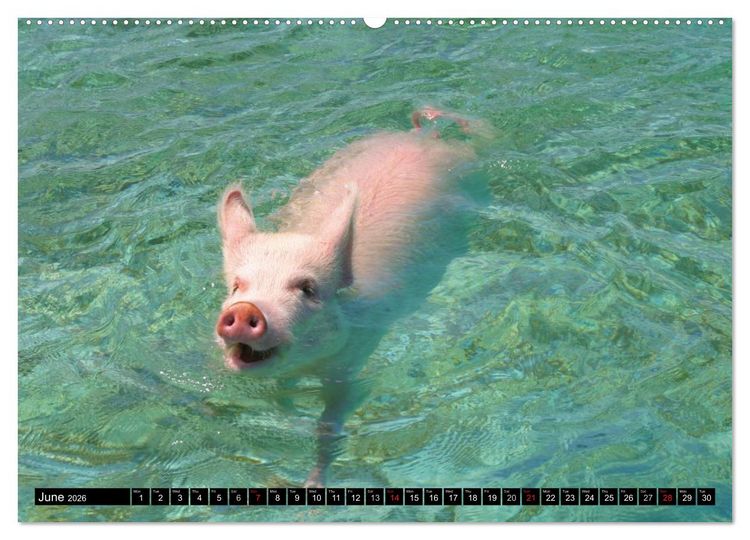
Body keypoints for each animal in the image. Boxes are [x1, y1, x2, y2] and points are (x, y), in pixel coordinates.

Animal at [215, 107, 480, 487]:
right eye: (237, 286)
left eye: (308, 288)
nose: (243, 310)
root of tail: (424, 136)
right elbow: (282, 395)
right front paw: (290, 416)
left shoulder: (352, 362)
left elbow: (331, 422)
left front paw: (313, 484)